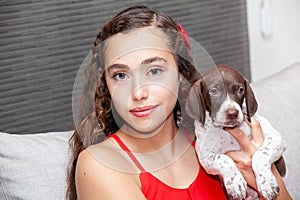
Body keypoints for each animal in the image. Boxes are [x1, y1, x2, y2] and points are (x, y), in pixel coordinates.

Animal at [185, 64, 286, 200]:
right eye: (213, 91)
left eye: (240, 90)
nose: (232, 113)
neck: (226, 130)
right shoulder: (205, 156)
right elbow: (223, 159)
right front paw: (235, 184)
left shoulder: (274, 137)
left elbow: (260, 155)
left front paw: (266, 183)